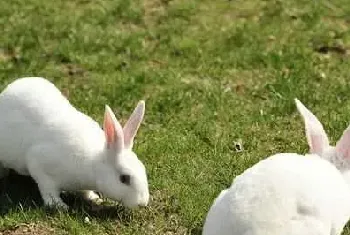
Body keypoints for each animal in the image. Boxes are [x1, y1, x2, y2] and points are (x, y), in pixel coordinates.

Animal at [0, 77, 148, 209]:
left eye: (143, 169)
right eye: (124, 178)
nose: (143, 203)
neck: (93, 164)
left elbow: (85, 192)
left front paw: (95, 199)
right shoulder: (39, 164)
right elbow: (48, 189)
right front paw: (59, 205)